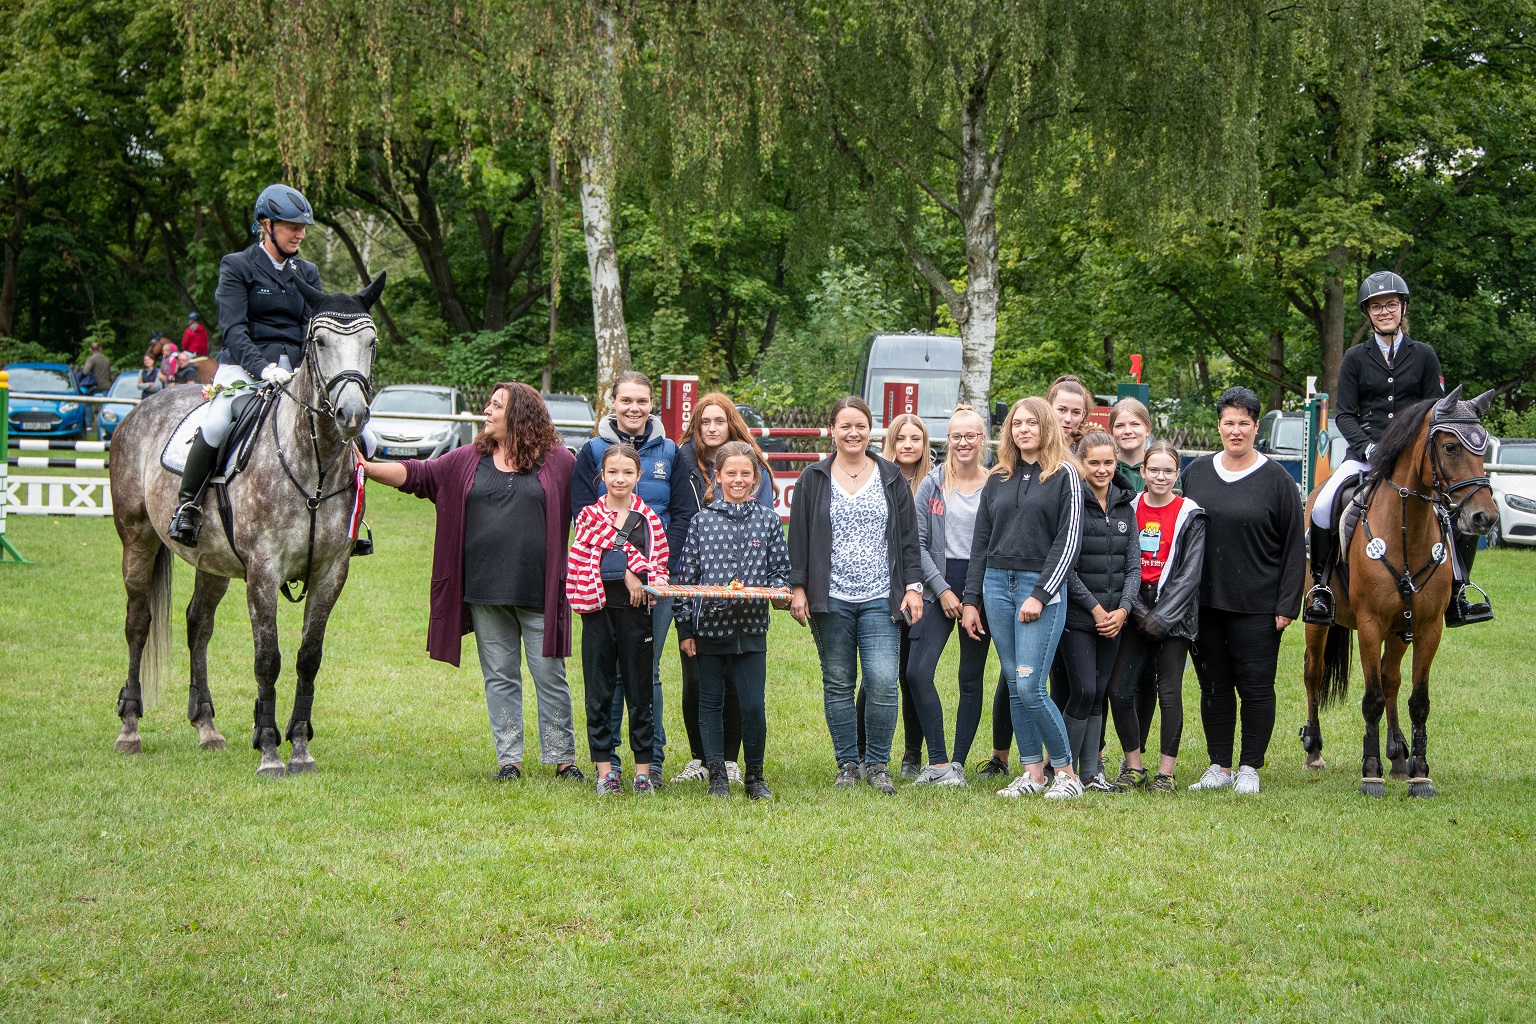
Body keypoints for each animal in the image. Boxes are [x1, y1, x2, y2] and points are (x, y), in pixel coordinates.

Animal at [109, 277, 384, 776]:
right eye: (319, 341)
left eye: (371, 343)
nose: (352, 415)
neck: (312, 466)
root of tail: (140, 408)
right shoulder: (263, 571)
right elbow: (268, 659)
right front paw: (271, 751)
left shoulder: (331, 572)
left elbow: (308, 658)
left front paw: (300, 747)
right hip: (137, 539)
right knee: (138, 622)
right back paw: (130, 728)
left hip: (212, 560)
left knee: (198, 625)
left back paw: (206, 727)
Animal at [1296, 388, 1499, 798]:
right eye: (1450, 447)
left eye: (1484, 448)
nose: (1484, 518)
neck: (1407, 529)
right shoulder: (1371, 625)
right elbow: (1371, 699)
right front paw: (1370, 774)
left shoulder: (1427, 628)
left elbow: (1417, 700)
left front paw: (1419, 774)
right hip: (1320, 621)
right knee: (1314, 671)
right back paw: (1315, 750)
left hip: (1399, 627)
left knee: (1391, 678)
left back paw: (1398, 756)